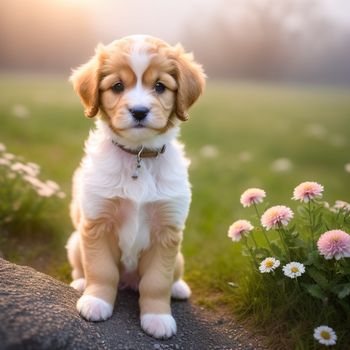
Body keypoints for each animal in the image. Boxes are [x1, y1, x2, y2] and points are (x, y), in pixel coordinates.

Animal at [65, 34, 205, 338]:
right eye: (117, 86)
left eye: (160, 86)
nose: (139, 111)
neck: (139, 156)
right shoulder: (97, 223)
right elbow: (101, 270)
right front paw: (96, 302)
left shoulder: (167, 231)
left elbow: (157, 281)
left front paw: (158, 318)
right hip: (75, 242)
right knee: (82, 268)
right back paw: (81, 284)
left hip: (179, 255)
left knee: (171, 276)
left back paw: (179, 288)